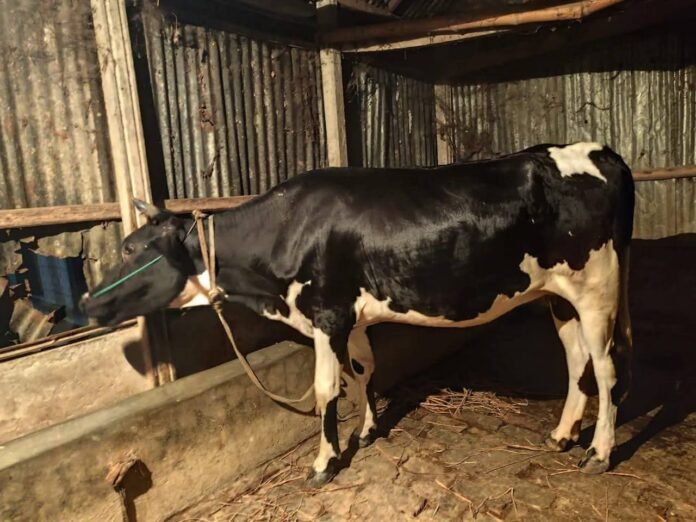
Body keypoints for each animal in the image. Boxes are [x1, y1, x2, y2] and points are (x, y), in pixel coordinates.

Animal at [81, 142, 634, 486]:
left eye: (132, 249)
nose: (87, 301)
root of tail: (599, 151)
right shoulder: (353, 318)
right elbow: (363, 371)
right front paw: (367, 432)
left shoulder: (327, 314)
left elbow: (328, 387)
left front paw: (324, 462)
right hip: (560, 295)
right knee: (577, 360)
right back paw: (564, 434)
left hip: (599, 287)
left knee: (607, 368)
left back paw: (599, 452)